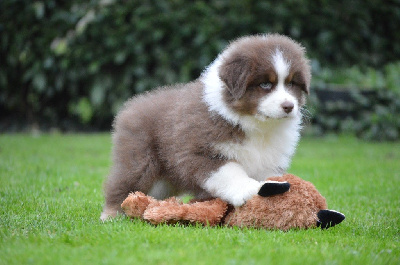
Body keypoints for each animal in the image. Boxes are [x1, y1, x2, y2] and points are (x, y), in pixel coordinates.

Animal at [101, 33, 312, 219]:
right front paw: (248, 190)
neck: (256, 125)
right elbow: (229, 171)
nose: (288, 106)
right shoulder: (199, 151)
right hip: (141, 161)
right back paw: (111, 215)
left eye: (292, 83)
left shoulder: (270, 160)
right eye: (266, 84)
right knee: (122, 185)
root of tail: (132, 105)